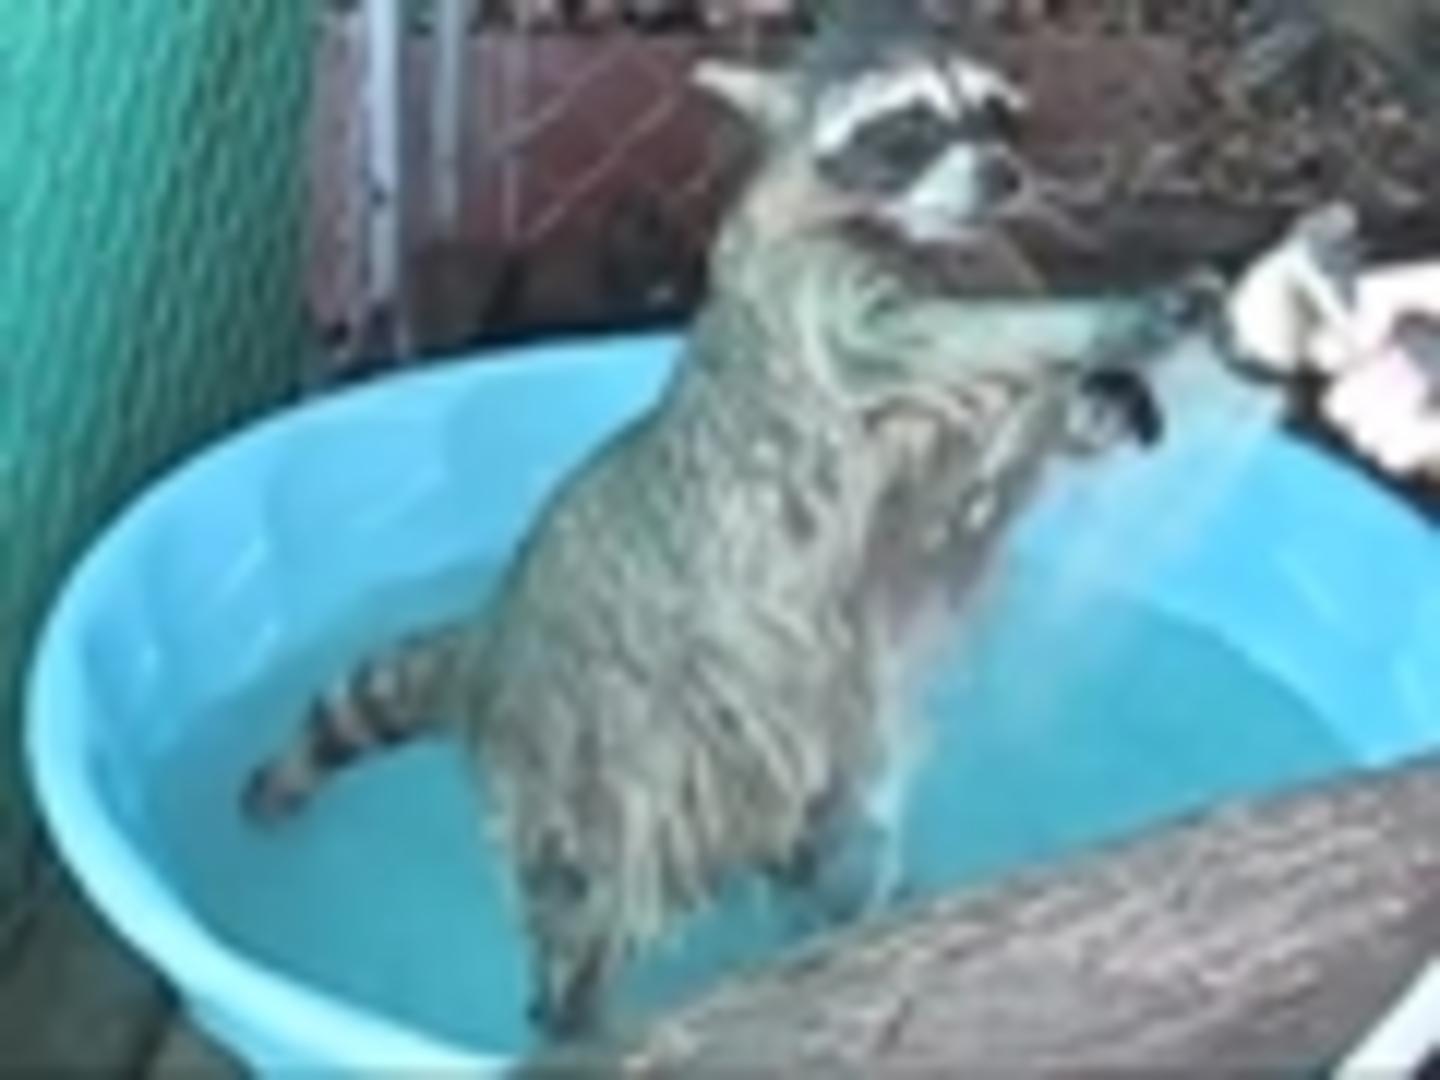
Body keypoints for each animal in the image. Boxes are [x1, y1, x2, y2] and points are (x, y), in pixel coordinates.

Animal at [243, 13, 1201, 1045]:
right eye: (905, 126)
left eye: (996, 113)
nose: (1004, 176)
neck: (918, 229)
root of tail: (497, 641)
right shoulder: (813, 306)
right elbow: (919, 338)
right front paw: (1094, 319)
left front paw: (1097, 395)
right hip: (599, 756)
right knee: (588, 888)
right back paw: (575, 1009)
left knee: (818, 822)